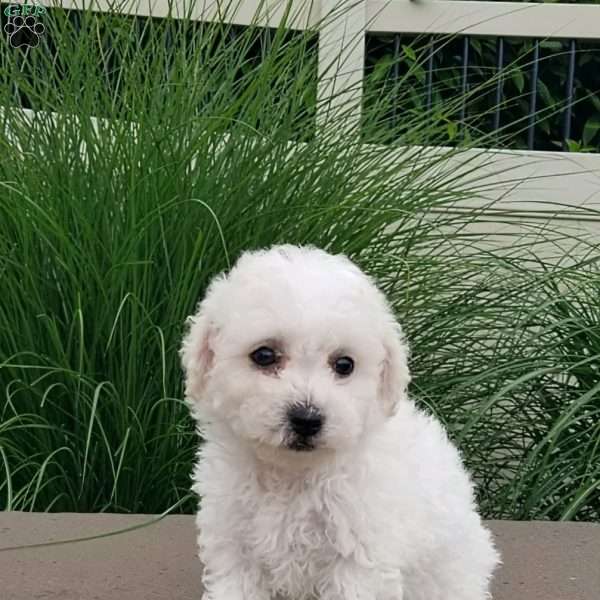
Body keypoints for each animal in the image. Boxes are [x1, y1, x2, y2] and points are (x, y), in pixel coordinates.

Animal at [180, 245, 500, 600]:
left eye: (344, 364)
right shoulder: (235, 546)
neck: (292, 477)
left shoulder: (359, 557)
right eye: (264, 356)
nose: (307, 419)